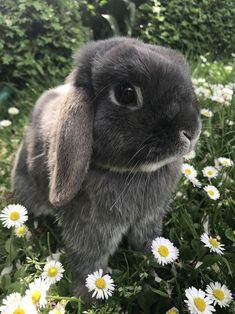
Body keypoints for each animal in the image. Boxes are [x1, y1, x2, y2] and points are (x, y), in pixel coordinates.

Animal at [11, 36, 201, 300]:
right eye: (126, 93)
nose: (191, 131)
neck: (131, 173)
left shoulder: (149, 218)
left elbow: (147, 240)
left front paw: (156, 262)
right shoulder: (91, 229)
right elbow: (89, 260)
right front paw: (88, 295)